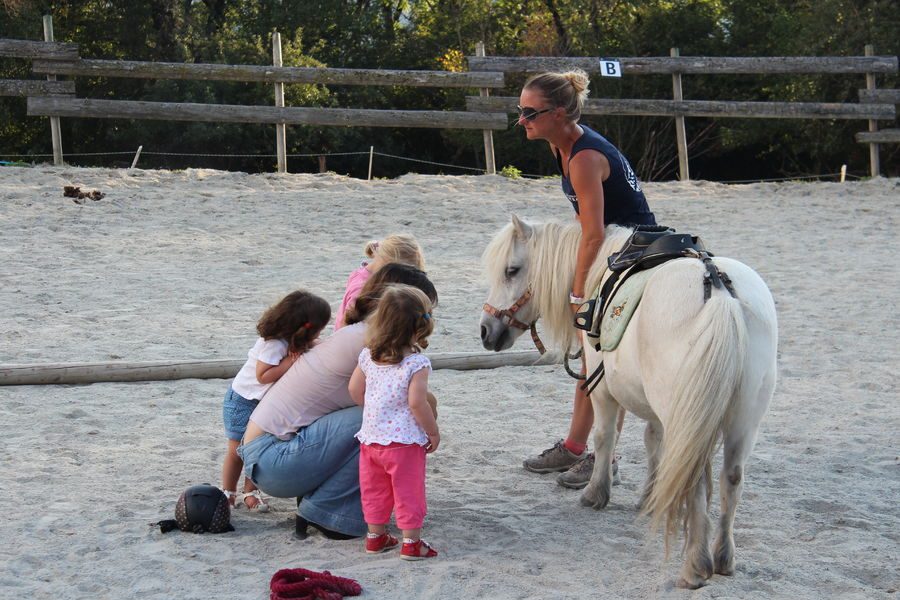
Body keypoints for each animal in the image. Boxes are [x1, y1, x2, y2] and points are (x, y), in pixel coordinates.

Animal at [482, 214, 776, 584]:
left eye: (512, 270)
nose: (485, 331)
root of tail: (719, 291)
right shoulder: (656, 408)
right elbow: (654, 444)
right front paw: (649, 496)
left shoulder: (601, 387)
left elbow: (604, 436)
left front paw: (596, 492)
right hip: (744, 419)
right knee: (731, 477)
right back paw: (723, 557)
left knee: (695, 480)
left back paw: (695, 566)